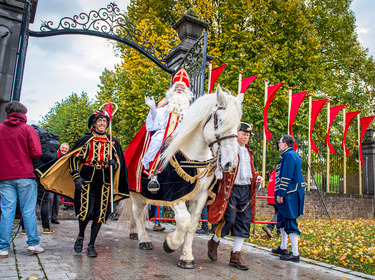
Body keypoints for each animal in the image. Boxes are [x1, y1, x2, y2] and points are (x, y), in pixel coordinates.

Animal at [127, 86, 244, 270]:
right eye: (220, 120)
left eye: (238, 125)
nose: (229, 163)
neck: (195, 156)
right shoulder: (175, 195)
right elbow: (183, 221)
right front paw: (170, 243)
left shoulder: (200, 197)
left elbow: (192, 225)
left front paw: (186, 257)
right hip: (135, 191)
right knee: (137, 211)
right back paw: (144, 239)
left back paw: (134, 233)